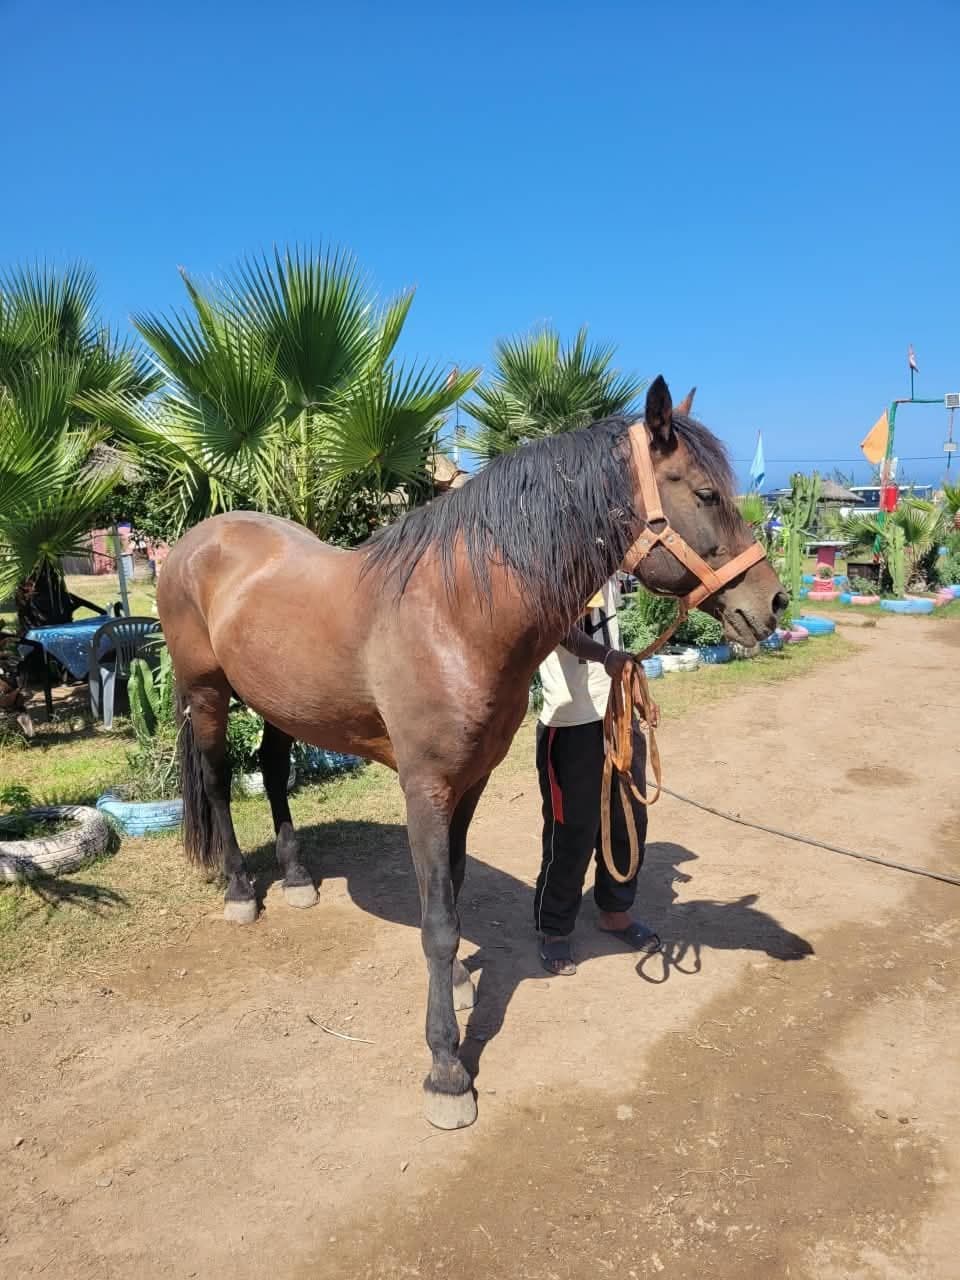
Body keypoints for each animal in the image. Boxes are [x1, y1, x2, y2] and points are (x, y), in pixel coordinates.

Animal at [158, 375, 787, 1129]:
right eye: (706, 494)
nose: (774, 602)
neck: (454, 613)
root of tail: (197, 541)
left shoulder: (472, 782)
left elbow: (452, 893)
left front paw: (458, 986)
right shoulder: (426, 788)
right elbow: (436, 922)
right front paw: (446, 1068)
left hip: (283, 703)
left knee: (276, 773)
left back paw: (299, 878)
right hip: (208, 694)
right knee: (220, 783)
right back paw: (240, 892)